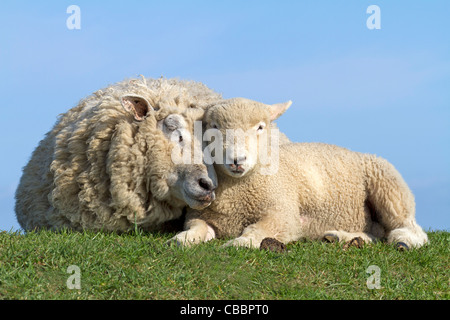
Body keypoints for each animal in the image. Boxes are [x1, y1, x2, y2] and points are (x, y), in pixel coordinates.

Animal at [171, 97, 428, 250]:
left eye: (261, 127)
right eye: (213, 126)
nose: (237, 160)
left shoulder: (284, 214)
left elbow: (259, 230)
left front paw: (241, 242)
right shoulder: (199, 214)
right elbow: (196, 228)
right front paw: (182, 239)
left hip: (389, 186)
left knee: (409, 228)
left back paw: (404, 241)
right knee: (376, 232)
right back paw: (344, 238)